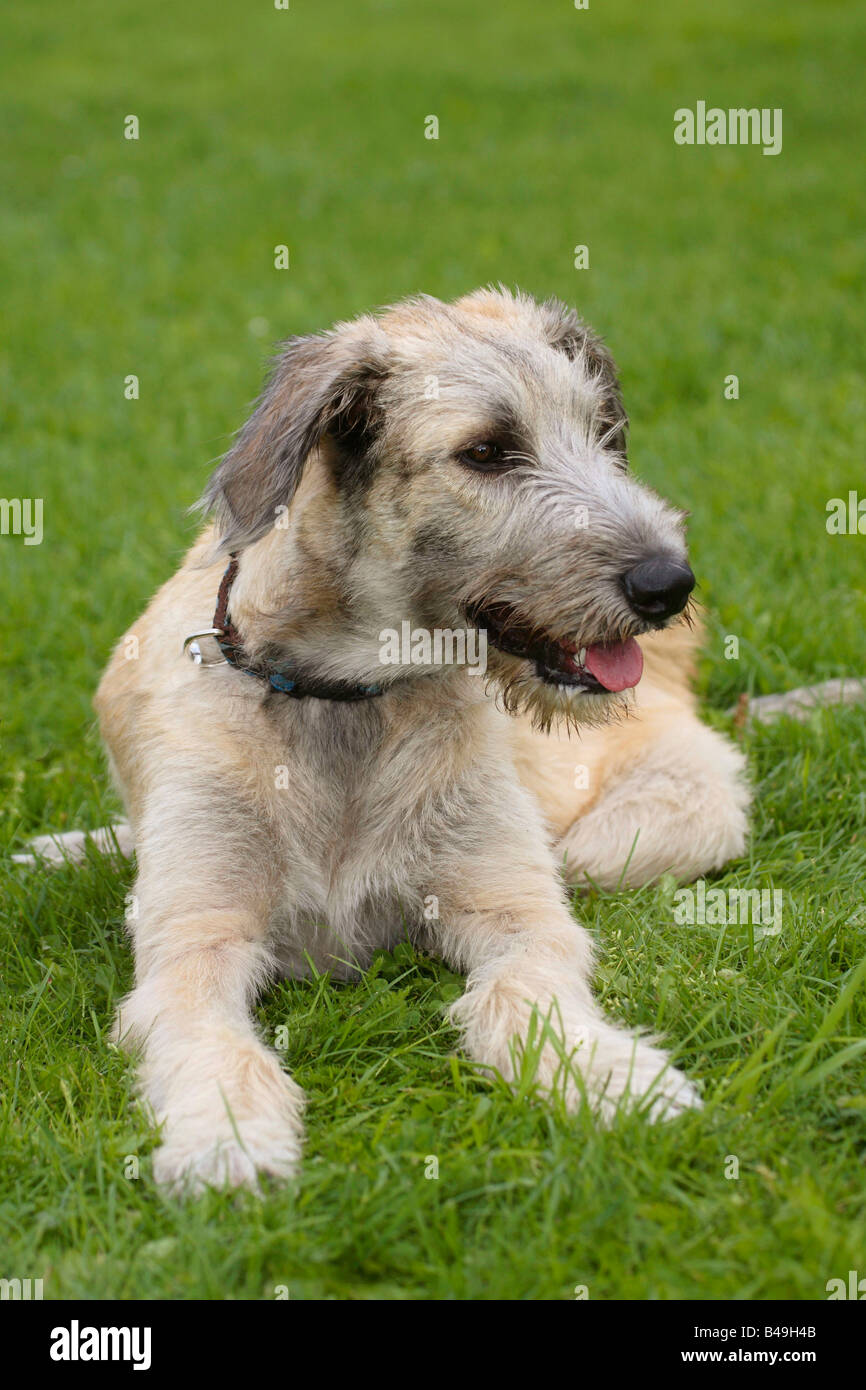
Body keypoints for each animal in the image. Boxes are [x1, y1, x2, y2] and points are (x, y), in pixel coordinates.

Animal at [61, 287, 750, 1189]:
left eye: (603, 432)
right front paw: (227, 1136)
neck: (346, 696)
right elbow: (207, 1034)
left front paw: (607, 1074)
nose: (669, 584)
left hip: (638, 827)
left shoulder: (513, 910)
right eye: (487, 452)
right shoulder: (194, 934)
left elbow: (526, 987)